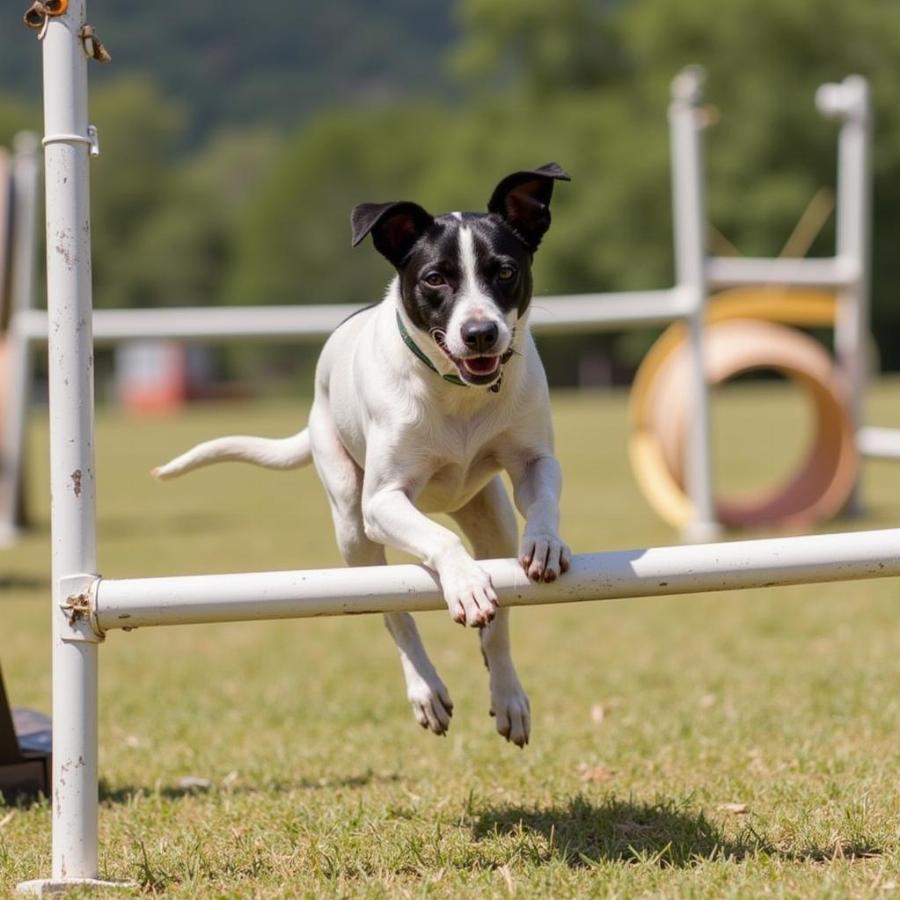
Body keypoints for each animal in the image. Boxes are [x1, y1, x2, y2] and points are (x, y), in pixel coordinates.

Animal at [154, 163, 568, 744]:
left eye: (505, 271)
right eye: (435, 279)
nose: (481, 332)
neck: (455, 393)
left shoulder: (533, 462)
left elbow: (544, 496)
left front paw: (546, 544)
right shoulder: (383, 500)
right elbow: (439, 542)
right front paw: (465, 585)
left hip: (490, 518)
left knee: (499, 614)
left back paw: (507, 695)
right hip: (352, 523)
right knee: (393, 608)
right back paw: (426, 689)